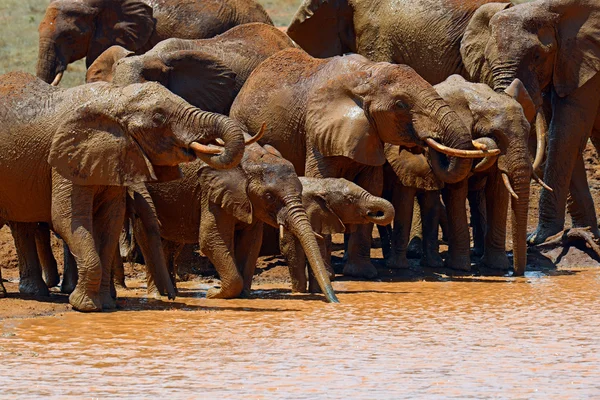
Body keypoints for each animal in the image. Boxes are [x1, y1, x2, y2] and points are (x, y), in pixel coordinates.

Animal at [0, 70, 248, 310]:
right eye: (158, 117)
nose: (171, 298)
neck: (115, 98)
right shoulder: (66, 156)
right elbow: (68, 218)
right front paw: (86, 306)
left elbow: (110, 220)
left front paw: (106, 305)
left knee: (21, 226)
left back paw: (34, 291)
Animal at [137, 139, 342, 302]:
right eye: (269, 197)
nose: (335, 301)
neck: (250, 159)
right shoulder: (211, 192)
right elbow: (211, 239)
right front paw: (214, 293)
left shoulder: (250, 202)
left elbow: (251, 243)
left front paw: (242, 295)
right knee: (149, 240)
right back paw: (156, 296)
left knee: (171, 244)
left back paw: (172, 294)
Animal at [227, 47, 494, 278]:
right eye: (401, 105)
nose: (429, 142)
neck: (365, 75)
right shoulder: (316, 130)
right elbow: (322, 181)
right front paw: (330, 274)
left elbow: (370, 187)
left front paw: (361, 273)